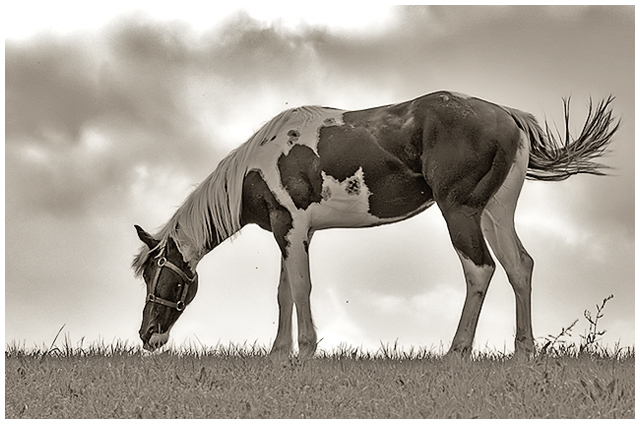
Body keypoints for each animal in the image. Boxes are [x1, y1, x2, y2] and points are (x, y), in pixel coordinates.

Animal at [132, 90, 616, 358]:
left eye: (164, 277)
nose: (146, 334)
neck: (262, 161)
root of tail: (508, 115)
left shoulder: (291, 227)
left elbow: (301, 288)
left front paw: (304, 351)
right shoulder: (292, 233)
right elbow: (284, 291)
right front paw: (278, 354)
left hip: (460, 213)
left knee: (480, 270)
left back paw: (457, 352)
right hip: (495, 213)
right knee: (520, 267)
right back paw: (523, 351)